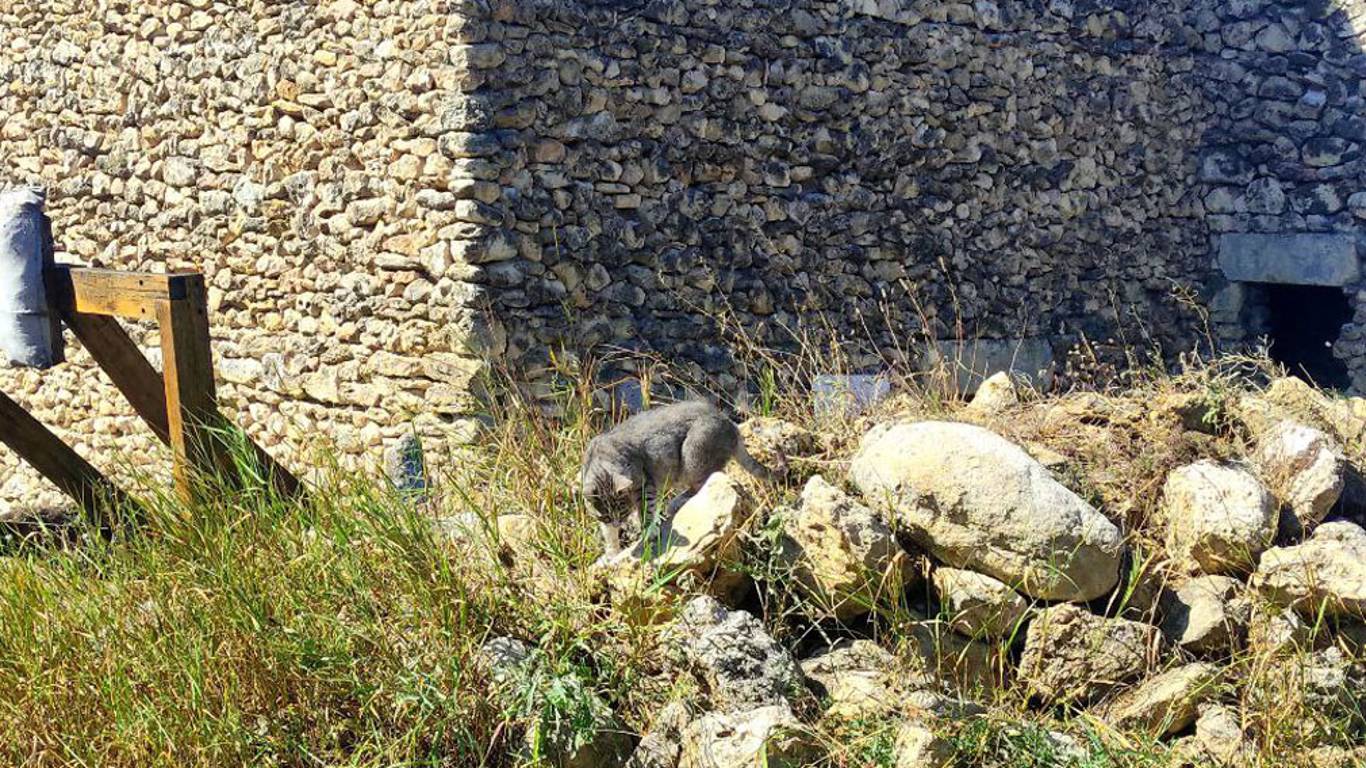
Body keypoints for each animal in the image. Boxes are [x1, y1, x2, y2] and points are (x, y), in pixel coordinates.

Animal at [576, 396, 770, 552]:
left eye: (623, 511)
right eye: (606, 516)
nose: (618, 523)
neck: (602, 460)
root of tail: (730, 423)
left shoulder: (645, 483)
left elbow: (646, 508)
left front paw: (648, 531)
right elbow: (608, 533)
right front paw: (612, 553)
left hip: (693, 456)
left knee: (706, 483)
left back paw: (675, 503)